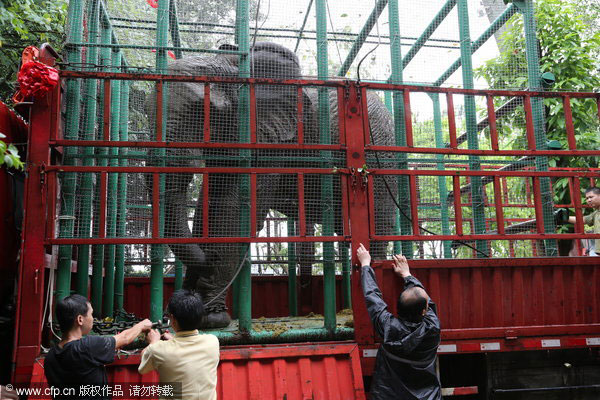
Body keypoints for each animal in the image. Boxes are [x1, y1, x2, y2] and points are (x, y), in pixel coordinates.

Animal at [148, 41, 396, 328]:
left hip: (380, 153)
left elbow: (234, 210)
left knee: (377, 222)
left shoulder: (268, 139)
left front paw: (210, 318)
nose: (210, 258)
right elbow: (209, 206)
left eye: (203, 112)